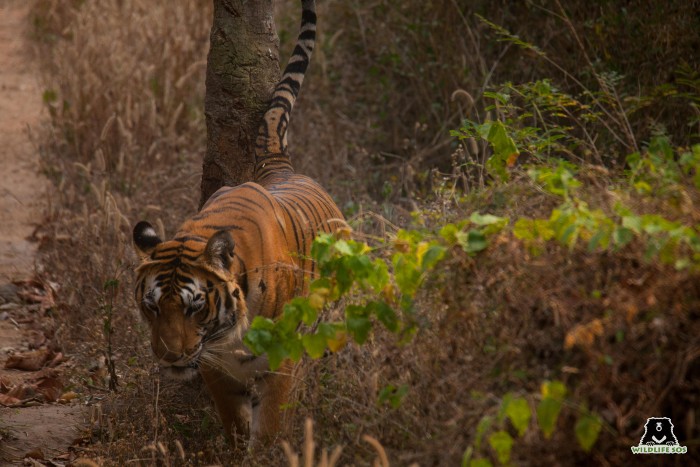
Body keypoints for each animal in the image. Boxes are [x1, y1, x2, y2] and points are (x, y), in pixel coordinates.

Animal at [132, 0, 344, 446]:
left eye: (195, 307)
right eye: (152, 306)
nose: (171, 357)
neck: (227, 338)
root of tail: (281, 169)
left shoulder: (282, 360)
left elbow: (271, 426)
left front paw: (268, 451)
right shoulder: (214, 367)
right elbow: (233, 420)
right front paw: (232, 449)